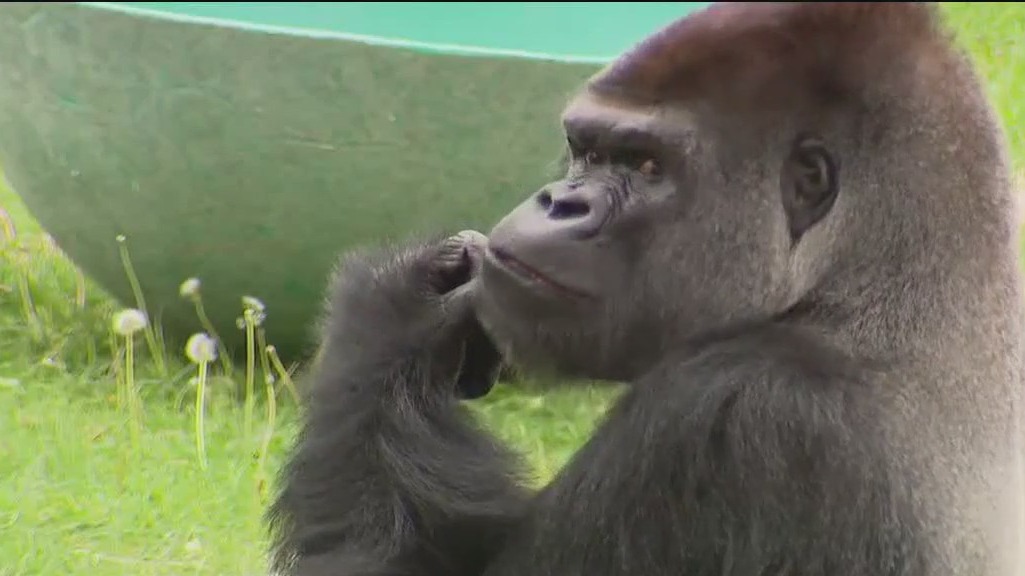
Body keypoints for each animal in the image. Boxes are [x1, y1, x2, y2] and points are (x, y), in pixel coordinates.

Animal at [267, 3, 1025, 576]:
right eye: (586, 149)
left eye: (646, 165)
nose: (558, 202)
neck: (873, 282)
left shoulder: (736, 412)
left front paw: (394, 316)